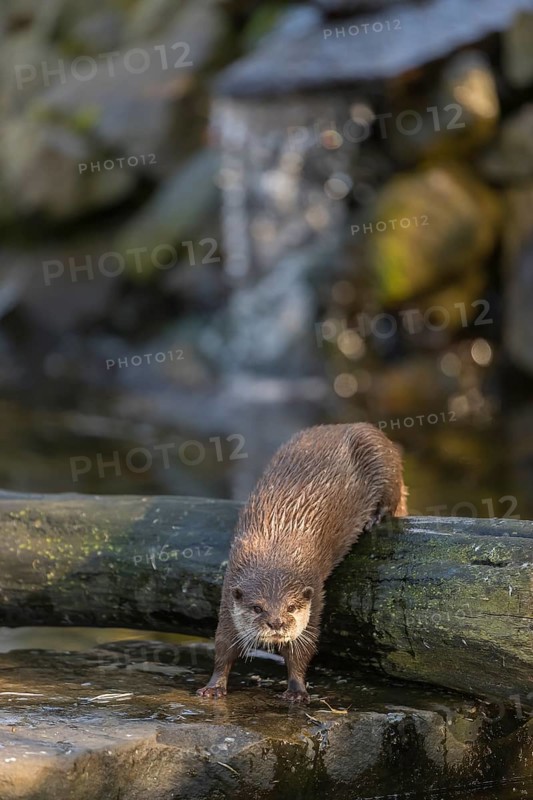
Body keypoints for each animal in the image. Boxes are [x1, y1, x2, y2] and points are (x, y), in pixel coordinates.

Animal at [197, 423, 408, 703]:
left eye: (291, 607)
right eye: (257, 608)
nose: (276, 623)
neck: (275, 553)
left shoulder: (315, 597)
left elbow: (302, 649)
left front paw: (297, 690)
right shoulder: (229, 592)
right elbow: (224, 644)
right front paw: (214, 686)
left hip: (380, 456)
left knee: (392, 496)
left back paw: (376, 519)